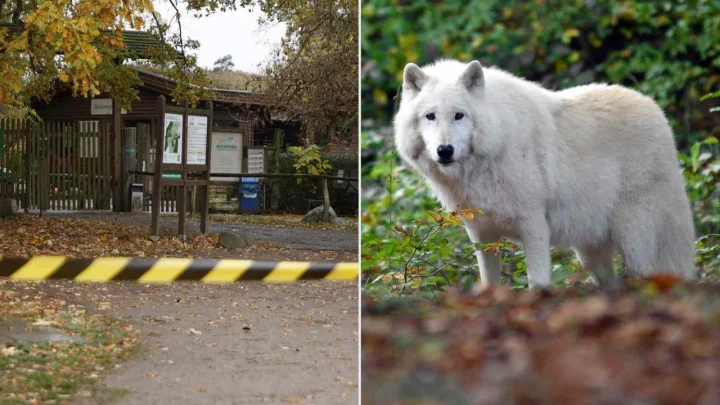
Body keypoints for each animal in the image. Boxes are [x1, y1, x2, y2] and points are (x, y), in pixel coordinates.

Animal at [393, 59, 696, 288]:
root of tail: (657, 111)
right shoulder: (482, 234)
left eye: (459, 115)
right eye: (430, 116)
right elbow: (489, 283)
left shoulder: (534, 226)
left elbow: (537, 283)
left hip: (637, 242)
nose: (445, 151)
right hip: (590, 255)